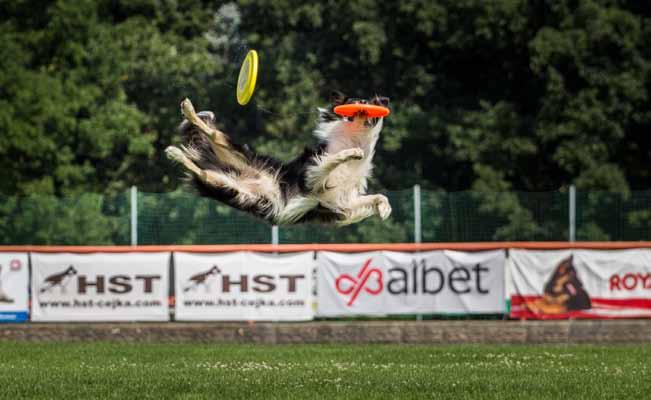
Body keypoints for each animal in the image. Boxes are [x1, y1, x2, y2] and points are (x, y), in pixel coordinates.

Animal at [167, 92, 392, 227]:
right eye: (355, 101)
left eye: (368, 102)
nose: (362, 105)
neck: (354, 137)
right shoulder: (312, 177)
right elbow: (331, 160)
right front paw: (352, 153)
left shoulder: (343, 202)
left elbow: (378, 196)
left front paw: (384, 209)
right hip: (236, 154)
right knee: (213, 134)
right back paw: (188, 116)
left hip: (231, 188)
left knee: (202, 171)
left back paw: (177, 153)